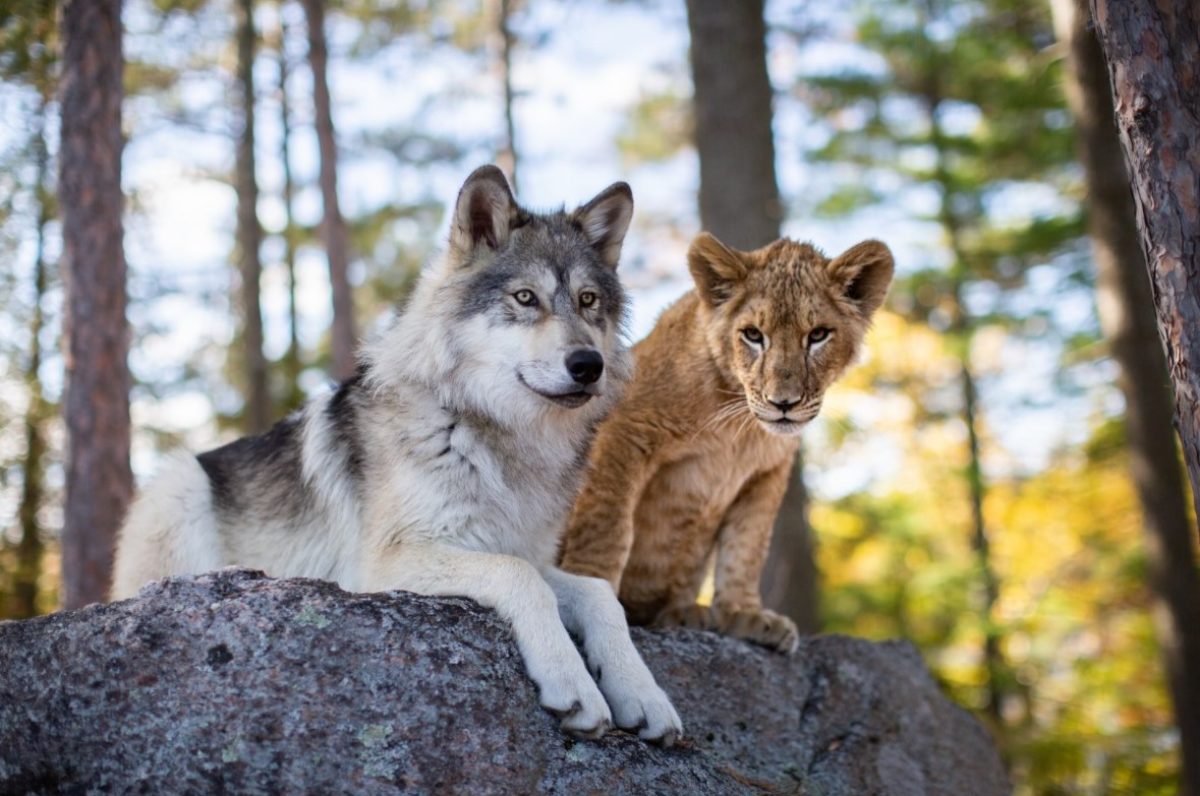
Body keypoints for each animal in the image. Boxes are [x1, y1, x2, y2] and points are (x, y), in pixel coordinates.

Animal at [111, 165, 682, 744]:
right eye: (525, 298)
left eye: (588, 301)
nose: (588, 365)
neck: (494, 434)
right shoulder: (385, 564)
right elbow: (519, 578)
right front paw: (574, 684)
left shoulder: (524, 550)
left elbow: (598, 594)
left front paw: (644, 695)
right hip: (178, 484)